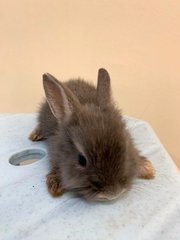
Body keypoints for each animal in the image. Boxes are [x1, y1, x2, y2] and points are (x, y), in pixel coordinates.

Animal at [29, 68, 155, 202]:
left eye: (125, 150)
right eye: (81, 160)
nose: (113, 194)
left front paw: (147, 168)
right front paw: (55, 185)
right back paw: (35, 135)